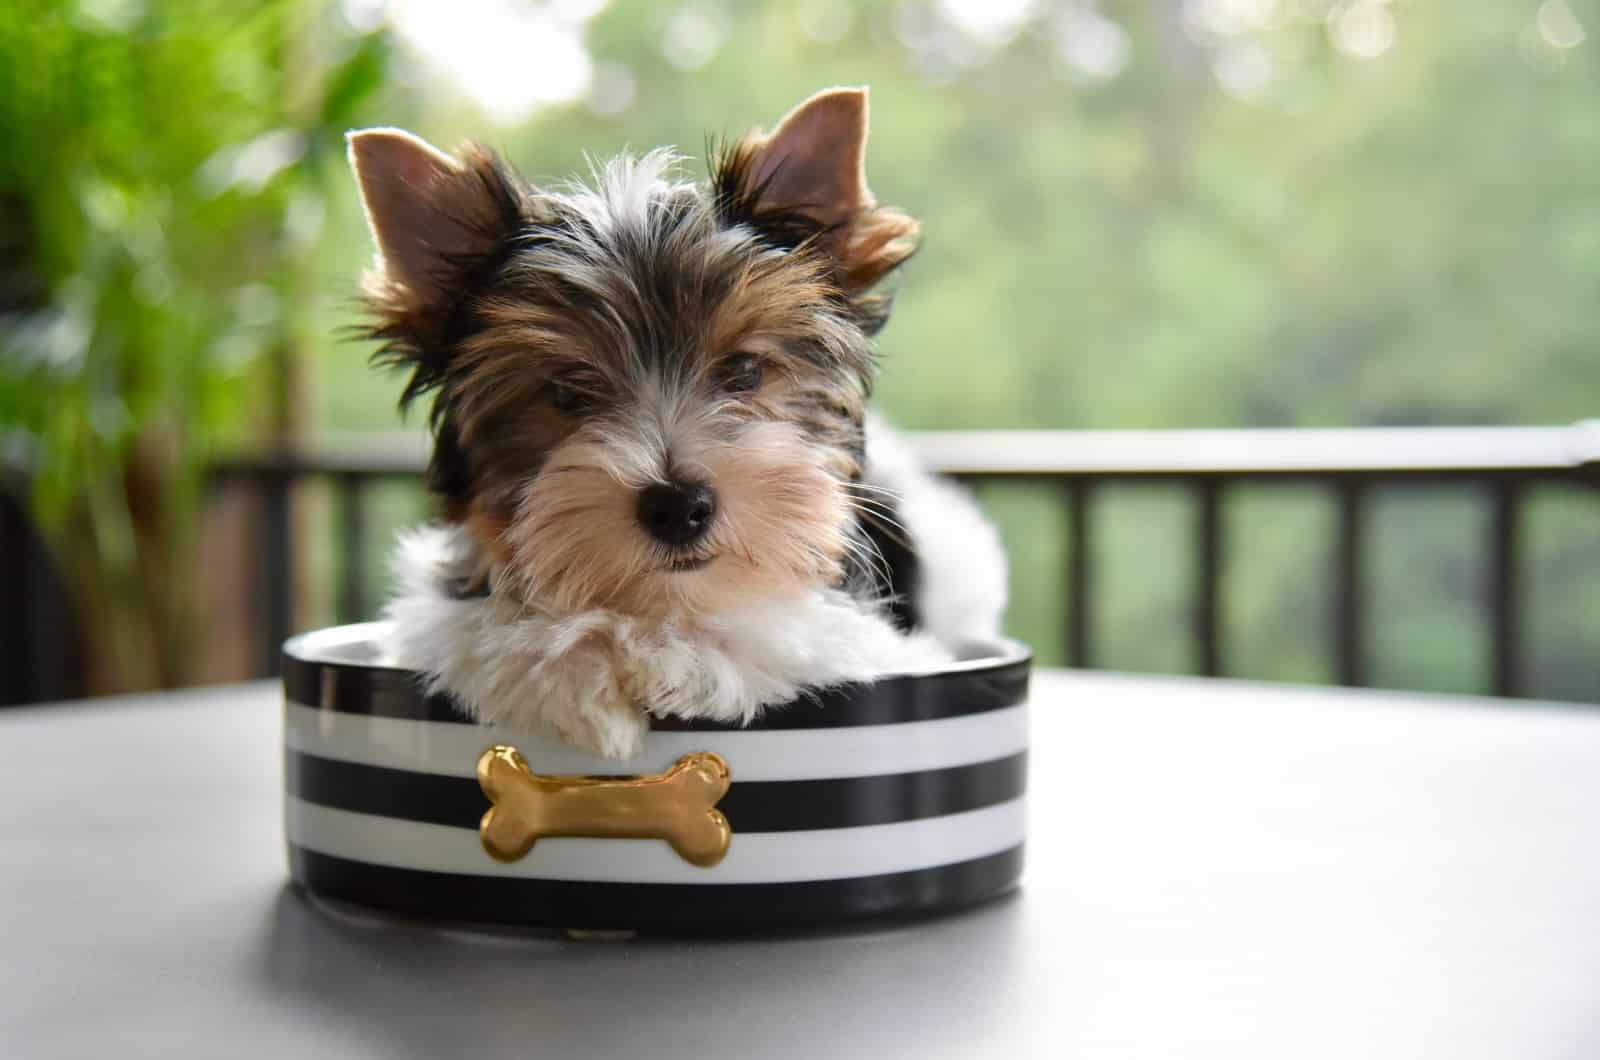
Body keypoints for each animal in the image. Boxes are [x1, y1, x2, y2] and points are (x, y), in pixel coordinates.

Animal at [355, 87, 1004, 758]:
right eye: (567, 390)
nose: (677, 506)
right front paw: (571, 667)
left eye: (744, 370)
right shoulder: (431, 617)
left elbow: (781, 634)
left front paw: (675, 657)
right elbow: (480, 627)